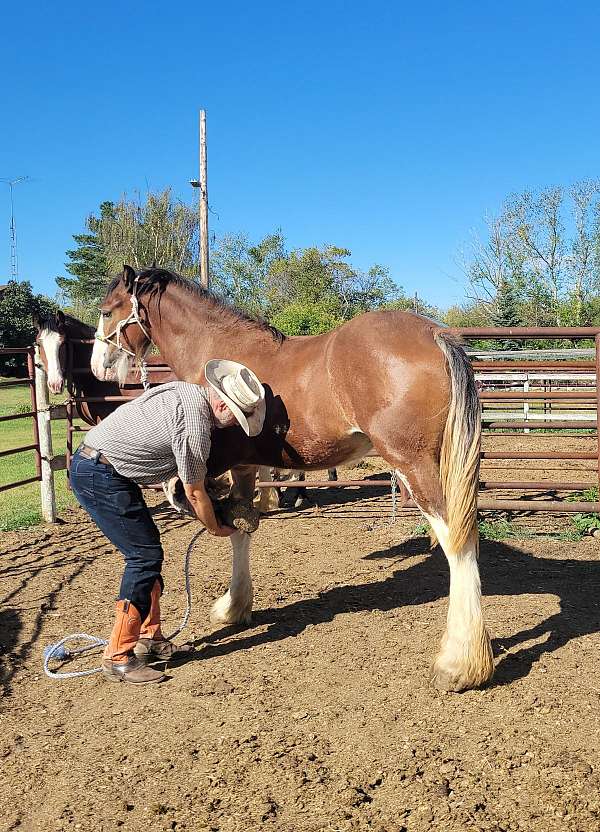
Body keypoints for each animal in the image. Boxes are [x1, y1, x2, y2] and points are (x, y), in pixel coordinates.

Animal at [90, 264, 492, 688]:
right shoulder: (246, 466)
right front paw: (235, 606)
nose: (98, 365)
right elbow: (243, 527)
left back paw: (458, 664)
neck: (216, 350)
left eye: (106, 310)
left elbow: (221, 516)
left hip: (413, 464)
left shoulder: (221, 462)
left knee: (456, 540)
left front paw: (231, 606)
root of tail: (433, 334)